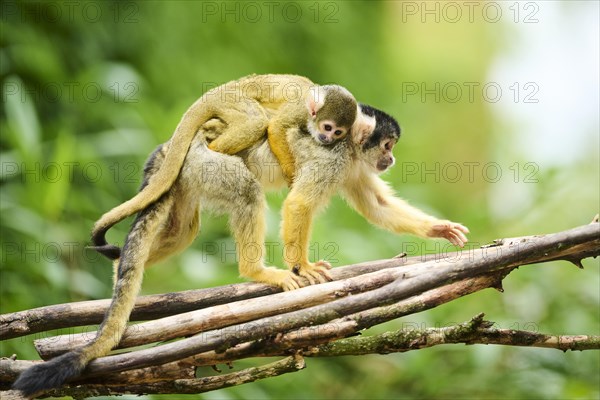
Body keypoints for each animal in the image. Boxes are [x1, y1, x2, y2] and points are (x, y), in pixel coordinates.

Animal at [91, 73, 358, 258]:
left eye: (338, 132)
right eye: (327, 127)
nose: (327, 138)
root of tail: (217, 90)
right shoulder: (299, 109)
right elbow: (276, 128)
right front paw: (291, 173)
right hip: (233, 101)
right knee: (256, 121)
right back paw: (215, 150)